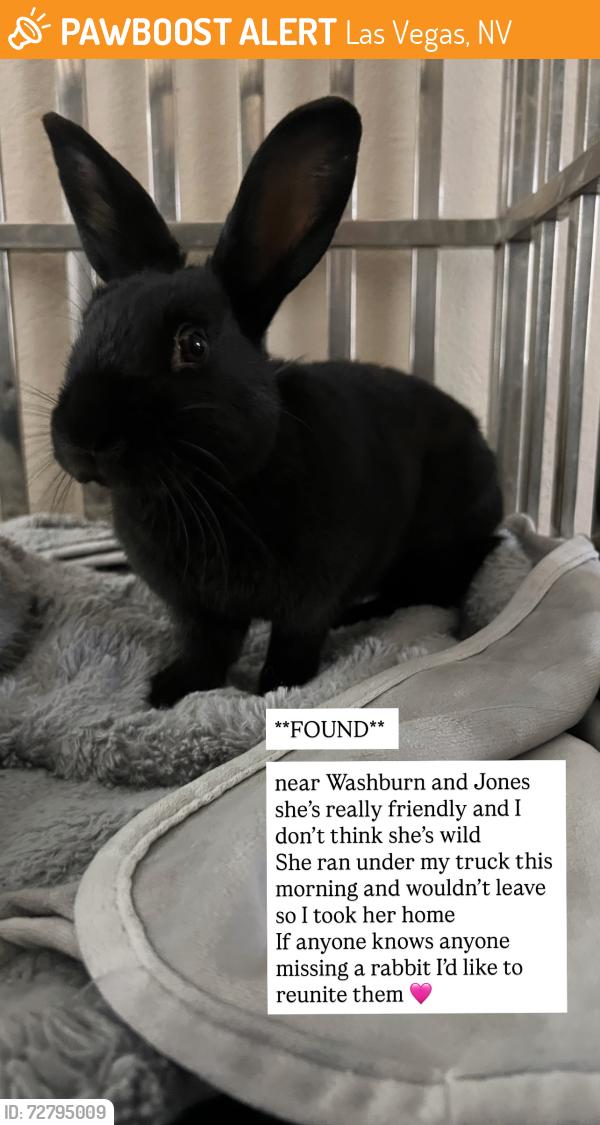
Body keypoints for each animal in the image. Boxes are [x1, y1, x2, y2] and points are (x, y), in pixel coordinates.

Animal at [43, 96, 503, 707]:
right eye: (87, 327)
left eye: (193, 344)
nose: (84, 434)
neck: (209, 487)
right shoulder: (200, 612)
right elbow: (207, 650)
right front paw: (169, 691)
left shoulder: (309, 597)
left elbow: (293, 644)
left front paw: (278, 690)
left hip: (441, 542)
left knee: (435, 590)